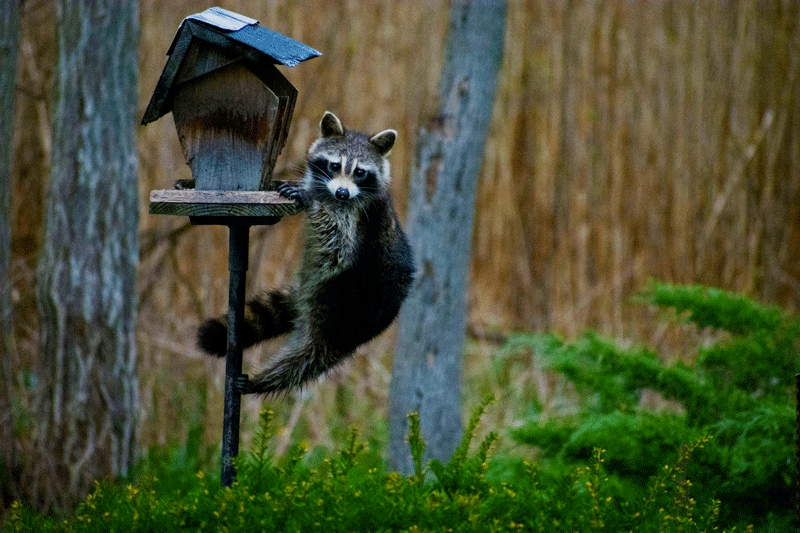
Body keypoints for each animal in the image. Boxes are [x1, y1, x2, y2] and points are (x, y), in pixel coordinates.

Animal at [197, 111, 416, 394]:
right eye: (334, 165)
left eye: (359, 172)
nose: (342, 192)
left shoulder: (357, 216)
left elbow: (339, 249)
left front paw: (311, 200)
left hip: (345, 316)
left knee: (307, 360)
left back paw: (264, 381)